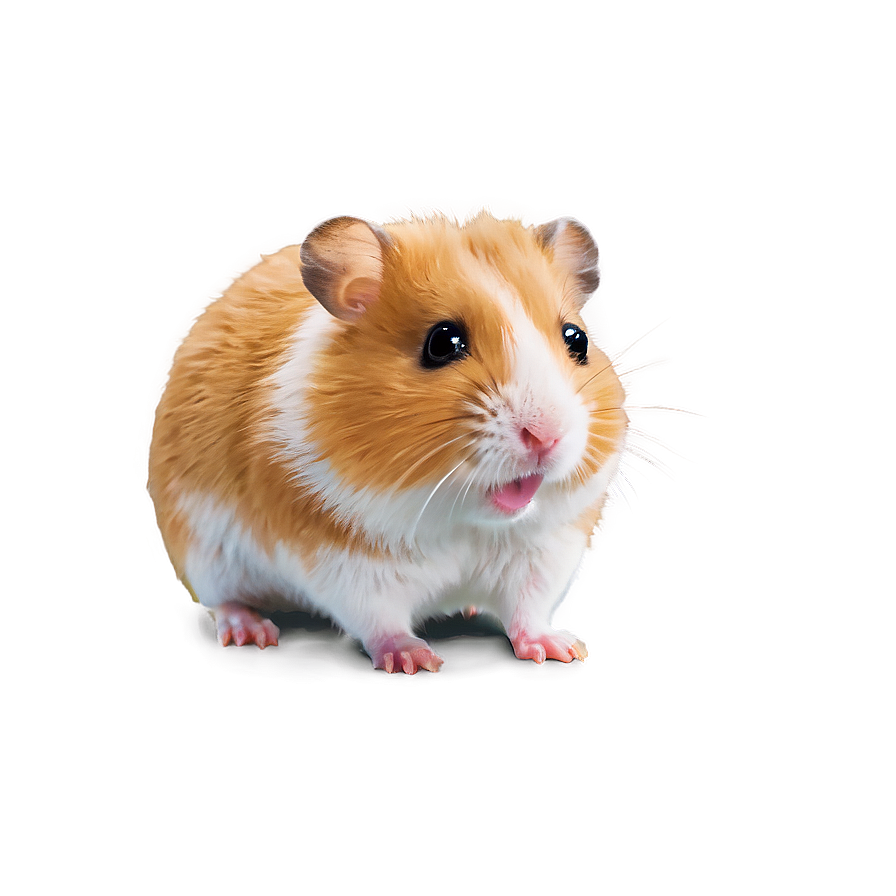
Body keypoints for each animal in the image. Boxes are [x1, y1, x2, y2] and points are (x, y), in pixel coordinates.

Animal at [149, 210, 627, 674]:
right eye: (443, 342)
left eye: (577, 339)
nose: (547, 435)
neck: (461, 519)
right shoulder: (343, 562)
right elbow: (379, 619)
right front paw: (416, 661)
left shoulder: (545, 550)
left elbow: (528, 609)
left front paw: (563, 650)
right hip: (204, 555)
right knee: (220, 602)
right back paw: (251, 633)